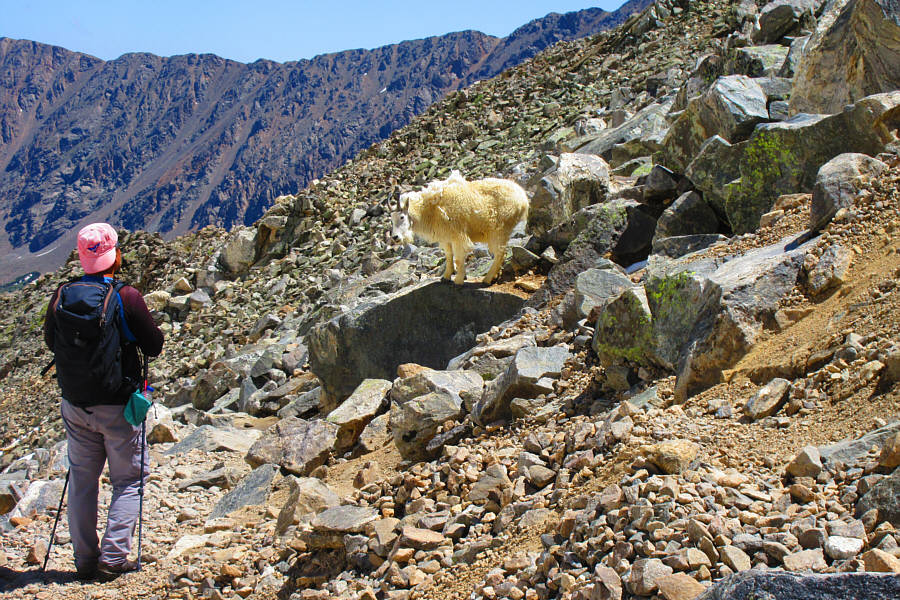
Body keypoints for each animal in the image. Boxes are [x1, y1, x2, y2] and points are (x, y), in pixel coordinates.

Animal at [389, 171, 529, 285]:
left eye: (402, 217)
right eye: (392, 219)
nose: (395, 237)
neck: (428, 209)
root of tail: (523, 199)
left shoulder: (457, 235)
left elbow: (458, 257)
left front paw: (459, 279)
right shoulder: (446, 238)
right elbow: (449, 256)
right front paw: (446, 277)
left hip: (499, 229)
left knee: (500, 253)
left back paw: (487, 279)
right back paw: (495, 276)